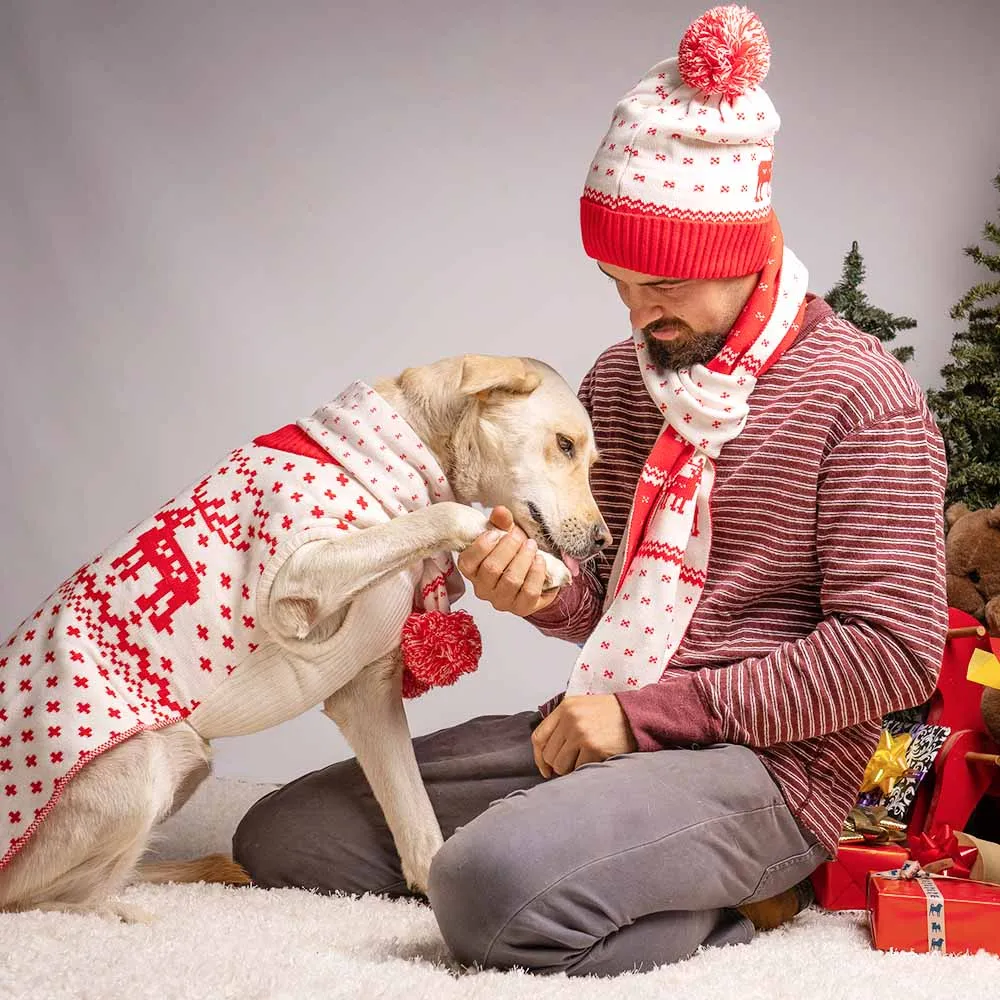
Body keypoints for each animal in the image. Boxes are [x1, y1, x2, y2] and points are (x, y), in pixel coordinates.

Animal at [0, 356, 608, 916]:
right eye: (564, 445)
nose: (604, 540)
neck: (395, 455)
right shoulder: (296, 574)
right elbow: (448, 515)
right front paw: (537, 564)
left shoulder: (367, 691)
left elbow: (418, 823)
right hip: (140, 767)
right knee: (43, 898)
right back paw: (124, 912)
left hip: (187, 762)